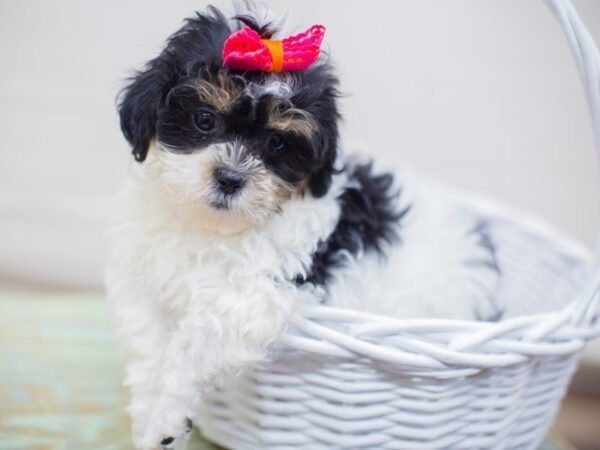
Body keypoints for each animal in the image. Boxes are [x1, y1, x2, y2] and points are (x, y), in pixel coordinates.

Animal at [105, 4, 500, 450]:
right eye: (204, 119)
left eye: (276, 144)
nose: (230, 179)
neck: (212, 226)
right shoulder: (140, 277)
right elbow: (147, 342)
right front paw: (148, 415)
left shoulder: (257, 293)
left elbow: (195, 339)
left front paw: (166, 419)